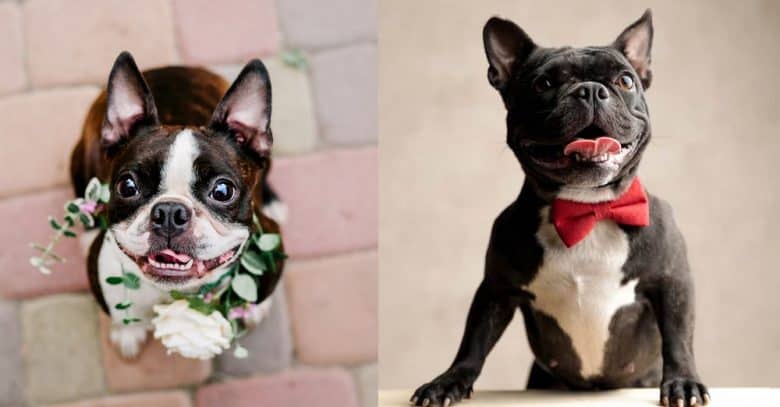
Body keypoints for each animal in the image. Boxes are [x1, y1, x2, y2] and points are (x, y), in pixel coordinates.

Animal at [70, 51, 284, 360]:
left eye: (223, 191)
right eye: (127, 186)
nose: (170, 212)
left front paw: (252, 307)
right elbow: (121, 314)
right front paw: (128, 333)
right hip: (80, 158)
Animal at [412, 9, 708, 407]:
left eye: (625, 80)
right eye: (544, 83)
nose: (591, 90)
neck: (586, 209)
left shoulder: (672, 282)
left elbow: (678, 337)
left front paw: (682, 383)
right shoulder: (496, 289)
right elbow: (473, 341)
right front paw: (448, 381)